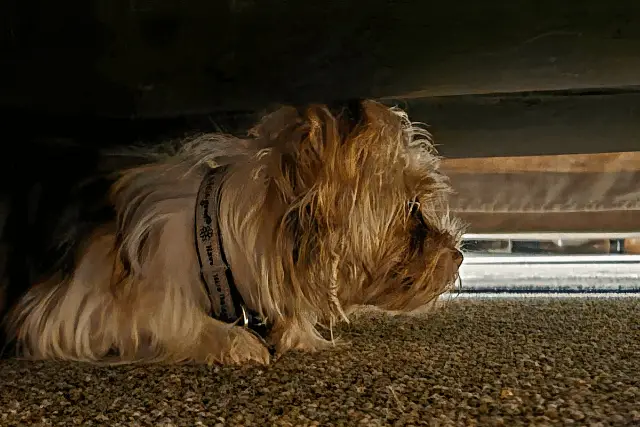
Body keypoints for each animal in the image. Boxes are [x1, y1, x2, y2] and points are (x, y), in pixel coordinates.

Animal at [0, 99, 462, 364]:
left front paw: (298, 332)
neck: (210, 239)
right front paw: (234, 339)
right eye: (413, 210)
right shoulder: (69, 307)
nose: (459, 255)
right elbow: (160, 311)